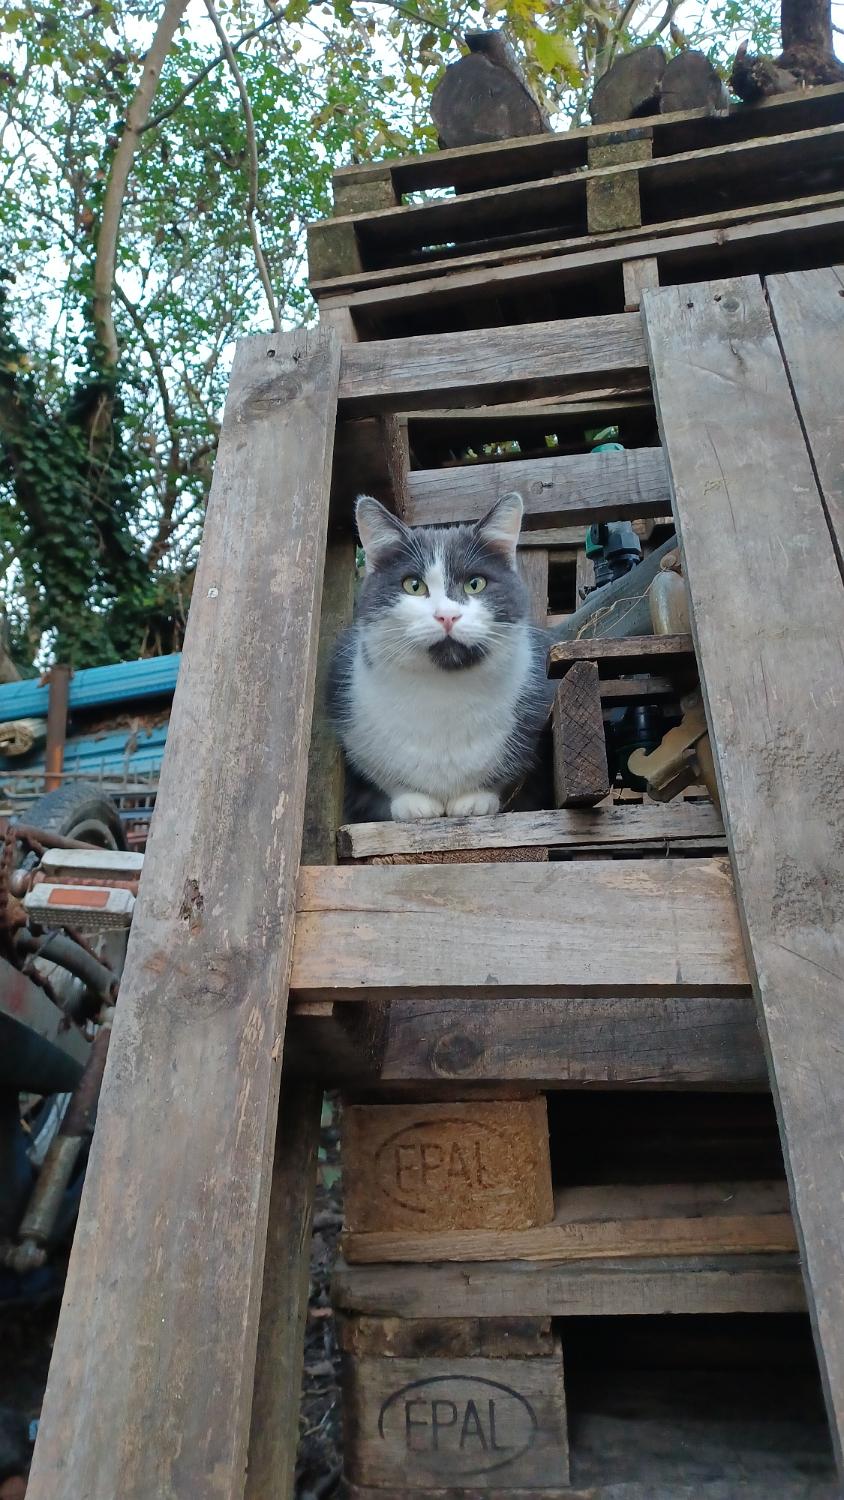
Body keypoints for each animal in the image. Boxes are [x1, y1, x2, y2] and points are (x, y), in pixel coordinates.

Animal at [327, 491, 554, 822]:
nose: (447, 615)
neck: (444, 692)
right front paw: (413, 801)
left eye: (475, 583)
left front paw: (475, 799)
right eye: (413, 585)